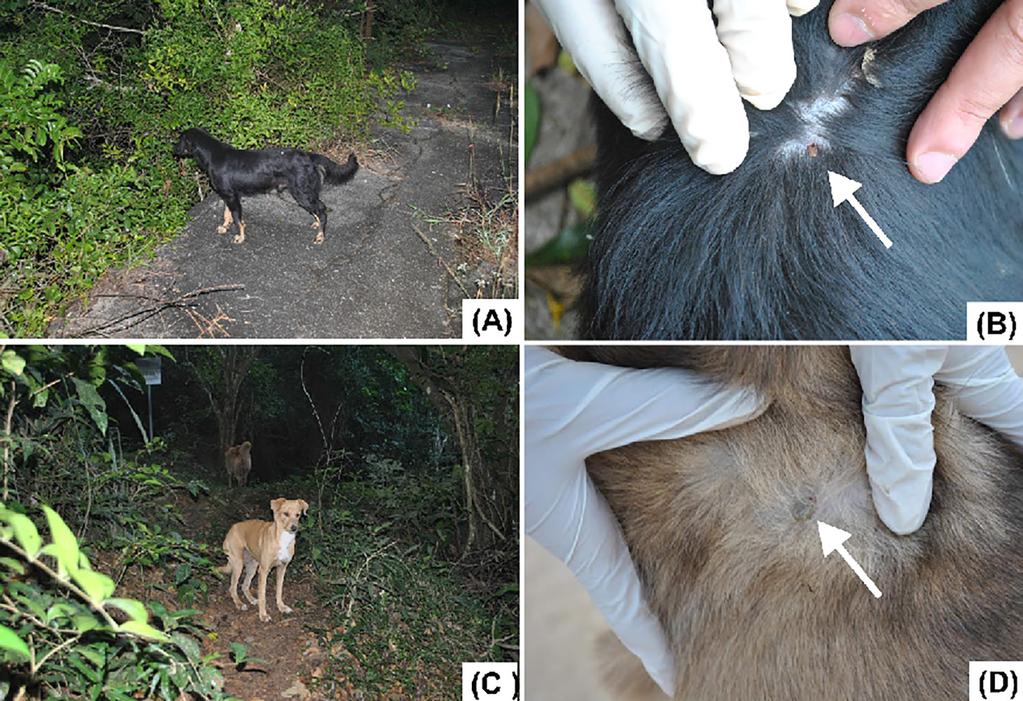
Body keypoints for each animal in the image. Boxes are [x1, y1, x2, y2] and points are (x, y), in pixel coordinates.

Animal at [169, 126, 358, 244]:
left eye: (180, 139)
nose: (172, 149)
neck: (213, 155)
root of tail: (309, 156)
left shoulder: (231, 196)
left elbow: (237, 219)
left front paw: (240, 237)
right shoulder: (227, 195)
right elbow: (227, 214)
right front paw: (224, 227)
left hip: (301, 192)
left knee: (322, 209)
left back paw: (320, 236)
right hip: (307, 191)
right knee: (319, 208)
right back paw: (317, 225)